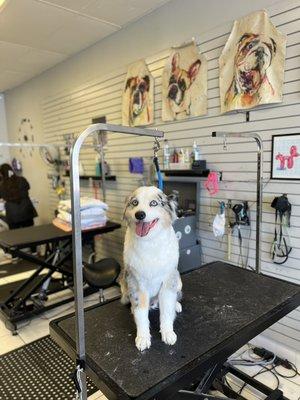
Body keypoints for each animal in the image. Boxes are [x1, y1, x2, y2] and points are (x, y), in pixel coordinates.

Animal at [119, 187, 180, 350]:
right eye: (135, 203)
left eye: (154, 203)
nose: (140, 214)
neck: (150, 243)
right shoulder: (136, 284)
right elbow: (140, 314)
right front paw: (143, 338)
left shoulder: (168, 281)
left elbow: (166, 311)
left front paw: (168, 333)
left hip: (178, 280)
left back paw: (177, 305)